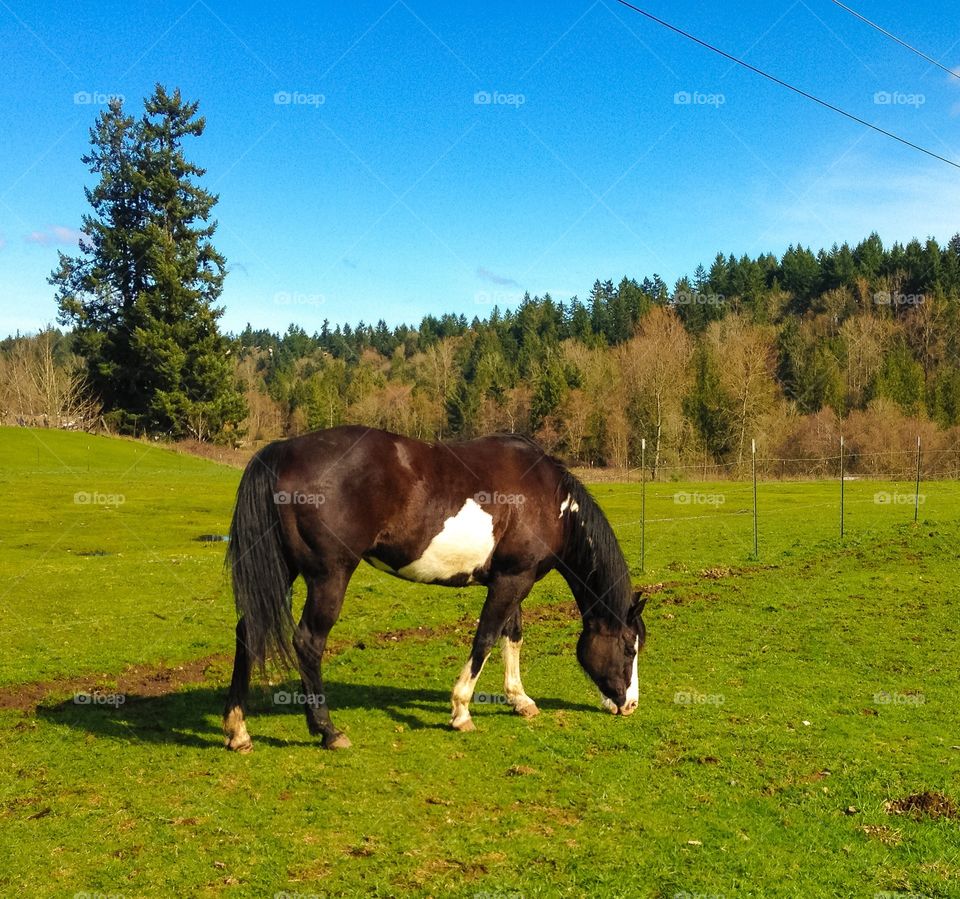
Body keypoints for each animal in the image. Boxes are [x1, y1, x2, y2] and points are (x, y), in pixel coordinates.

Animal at [223, 425, 647, 751]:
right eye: (629, 648)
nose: (630, 705)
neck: (548, 496)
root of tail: (283, 449)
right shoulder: (512, 581)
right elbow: (485, 639)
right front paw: (461, 710)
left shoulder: (514, 577)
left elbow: (512, 636)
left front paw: (519, 699)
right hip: (329, 577)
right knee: (308, 642)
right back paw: (328, 731)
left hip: (284, 570)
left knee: (248, 631)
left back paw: (238, 731)